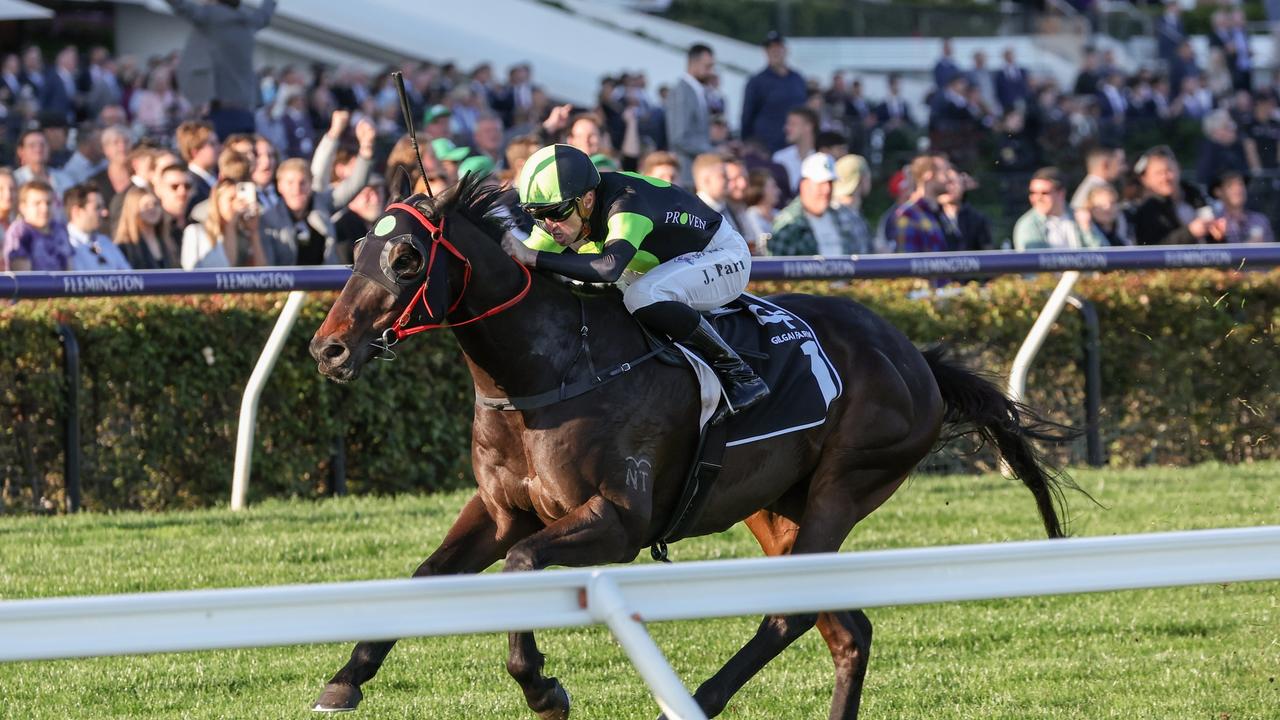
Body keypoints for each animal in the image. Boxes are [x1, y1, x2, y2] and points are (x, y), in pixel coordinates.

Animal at [307, 170, 1070, 712]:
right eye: (357, 250)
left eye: (406, 258)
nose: (327, 350)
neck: (548, 370)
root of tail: (916, 358)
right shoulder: (500, 510)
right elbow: (425, 577)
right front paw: (345, 679)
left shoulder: (618, 520)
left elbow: (523, 567)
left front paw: (543, 687)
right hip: (775, 508)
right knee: (847, 630)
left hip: (844, 486)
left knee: (792, 617)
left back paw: (701, 696)